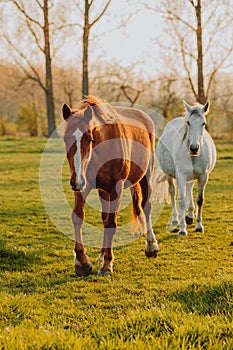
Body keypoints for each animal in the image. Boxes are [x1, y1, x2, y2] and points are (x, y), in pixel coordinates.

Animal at [62, 95, 158, 276]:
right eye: (65, 138)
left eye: (89, 139)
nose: (76, 181)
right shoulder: (83, 186)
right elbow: (78, 217)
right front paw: (82, 262)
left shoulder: (115, 189)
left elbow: (111, 224)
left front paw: (107, 265)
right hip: (102, 191)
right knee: (104, 216)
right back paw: (100, 255)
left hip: (145, 176)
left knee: (146, 207)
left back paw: (151, 246)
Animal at [155, 102, 217, 237]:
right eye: (188, 122)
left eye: (203, 123)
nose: (194, 148)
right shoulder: (181, 176)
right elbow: (182, 201)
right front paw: (182, 230)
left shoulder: (203, 176)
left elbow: (200, 200)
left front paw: (199, 226)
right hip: (170, 176)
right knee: (172, 192)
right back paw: (175, 219)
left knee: (189, 189)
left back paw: (189, 216)